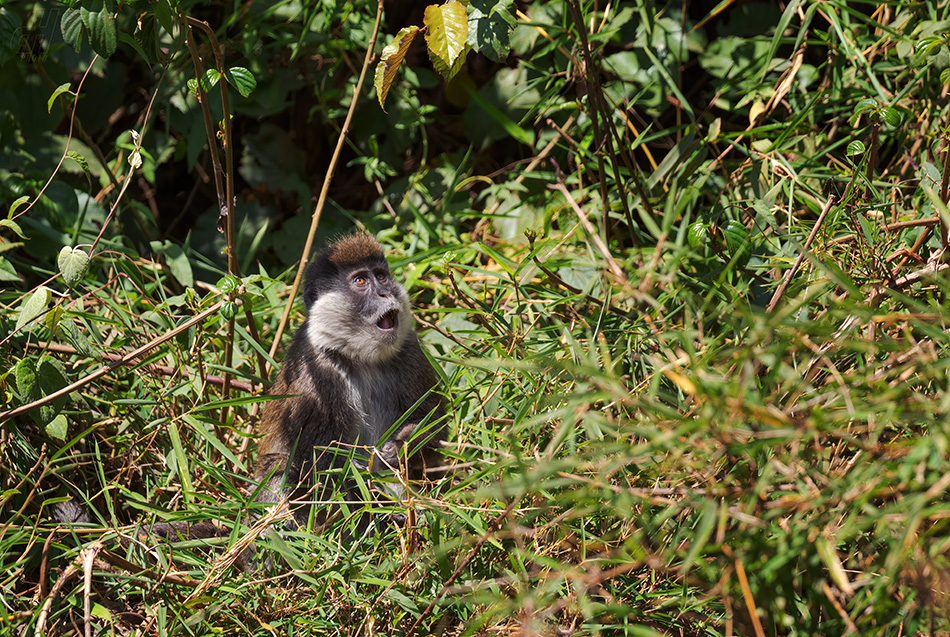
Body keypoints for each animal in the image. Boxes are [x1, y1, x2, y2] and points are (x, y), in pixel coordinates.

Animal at [253, 231, 446, 524]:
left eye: (381, 276)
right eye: (360, 281)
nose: (385, 292)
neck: (359, 357)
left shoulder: (409, 350)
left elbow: (435, 423)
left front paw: (401, 446)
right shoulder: (317, 376)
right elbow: (319, 468)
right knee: (279, 468)